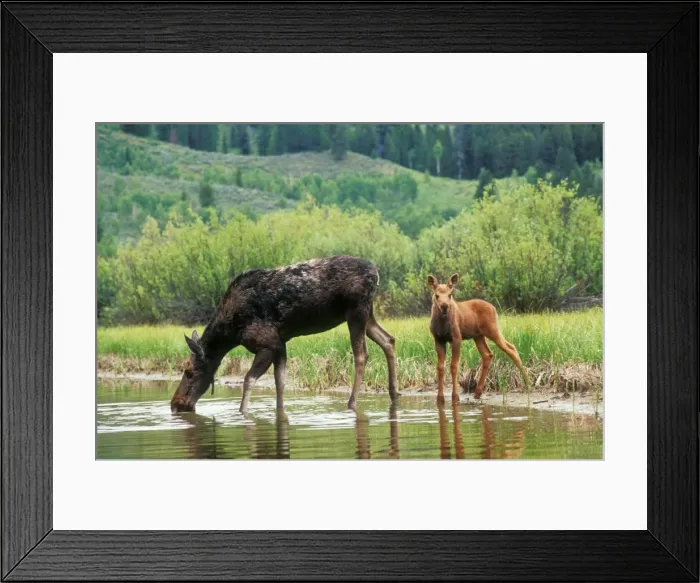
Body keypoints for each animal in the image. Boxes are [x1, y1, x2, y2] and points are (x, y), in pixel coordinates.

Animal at [170, 255, 399, 414]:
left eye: (189, 371)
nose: (175, 404)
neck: (230, 333)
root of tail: (376, 273)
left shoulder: (267, 343)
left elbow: (248, 379)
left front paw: (242, 413)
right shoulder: (281, 344)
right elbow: (280, 382)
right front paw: (280, 413)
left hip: (356, 312)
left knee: (361, 355)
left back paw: (352, 403)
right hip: (367, 314)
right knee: (389, 340)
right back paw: (394, 394)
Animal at [428, 273, 528, 405]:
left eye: (450, 294)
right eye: (436, 295)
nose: (445, 306)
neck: (442, 323)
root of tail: (494, 308)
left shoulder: (457, 338)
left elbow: (454, 366)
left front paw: (455, 397)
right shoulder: (438, 339)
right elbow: (440, 367)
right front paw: (440, 398)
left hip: (492, 330)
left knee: (511, 348)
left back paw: (528, 383)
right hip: (478, 336)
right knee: (488, 354)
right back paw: (478, 392)